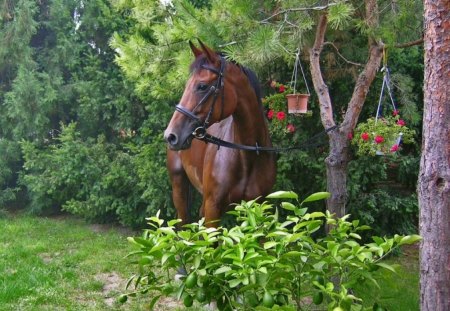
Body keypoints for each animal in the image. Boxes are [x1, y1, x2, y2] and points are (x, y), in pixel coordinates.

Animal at [163, 40, 276, 227]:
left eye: (202, 86)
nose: (170, 136)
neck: (248, 155)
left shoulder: (257, 208)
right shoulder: (213, 209)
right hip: (178, 185)